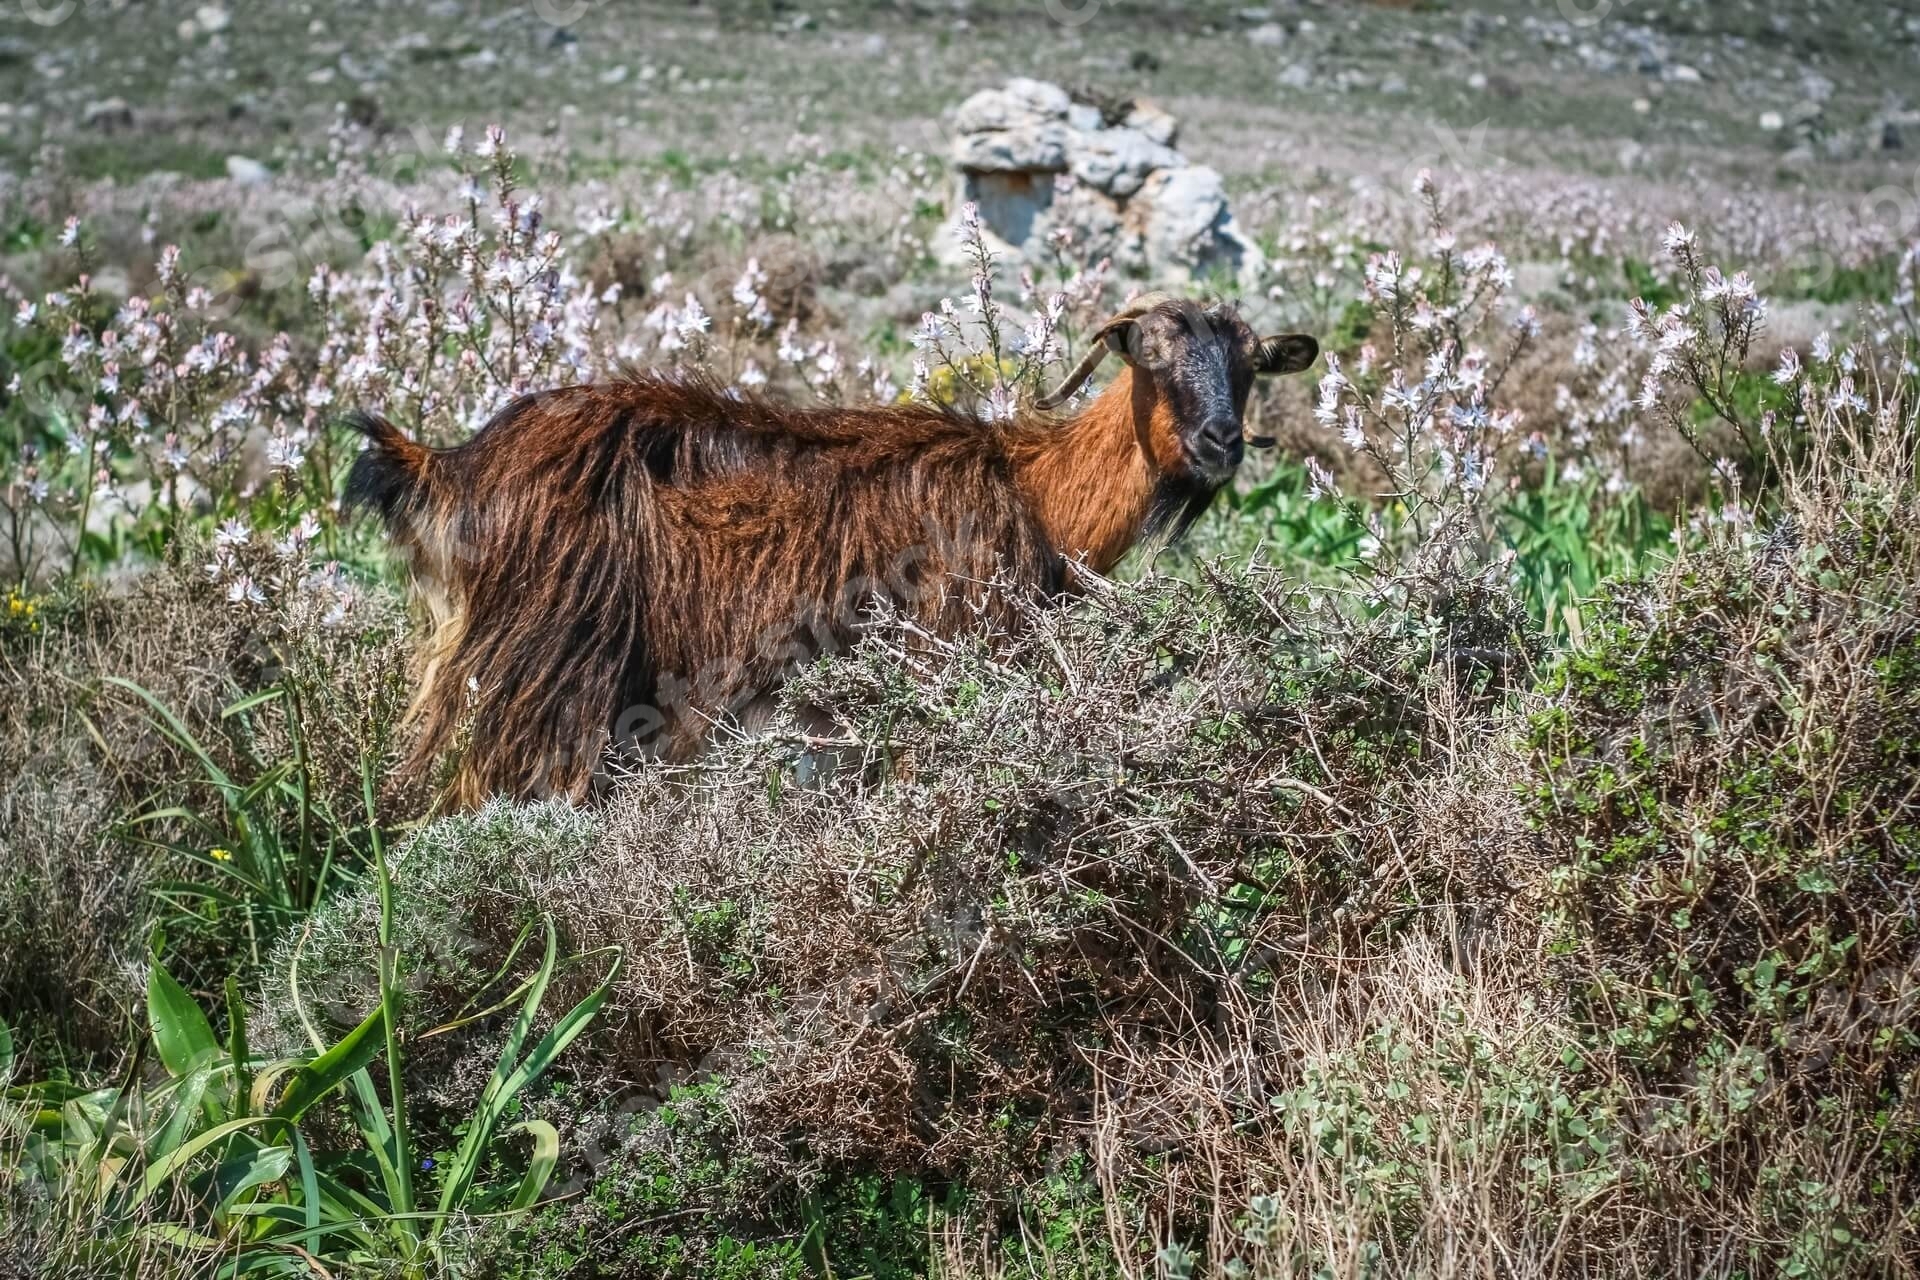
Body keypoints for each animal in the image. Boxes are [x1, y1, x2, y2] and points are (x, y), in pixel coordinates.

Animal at [349, 295, 1320, 805]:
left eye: (1249, 367)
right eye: (1149, 354)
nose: (1221, 441)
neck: (1034, 491)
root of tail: (450, 466)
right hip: (546, 670)